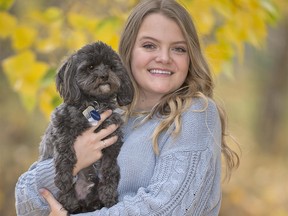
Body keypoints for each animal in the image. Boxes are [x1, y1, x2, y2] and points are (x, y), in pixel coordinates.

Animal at [38, 41, 134, 213]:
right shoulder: (60, 127)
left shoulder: (112, 140)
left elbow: (109, 168)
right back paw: (69, 200)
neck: (95, 104)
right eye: (90, 67)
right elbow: (65, 153)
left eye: (111, 67)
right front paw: (63, 178)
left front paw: (108, 193)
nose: (104, 75)